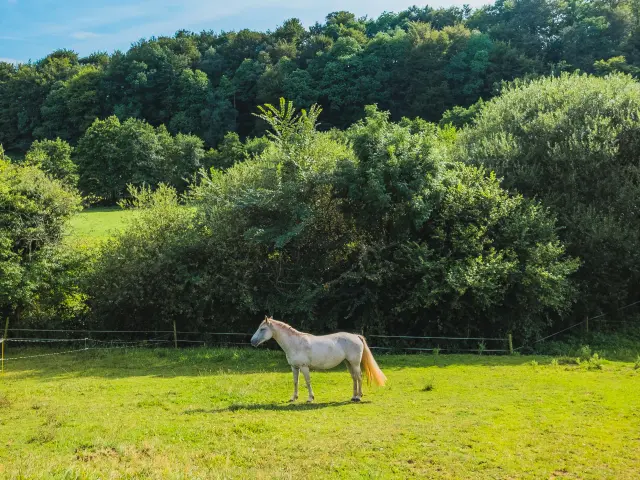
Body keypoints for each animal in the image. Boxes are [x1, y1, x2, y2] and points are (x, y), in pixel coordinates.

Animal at [250, 316, 387, 403]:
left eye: (262, 329)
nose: (252, 341)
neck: (295, 343)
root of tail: (356, 336)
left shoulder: (304, 367)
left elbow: (307, 382)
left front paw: (310, 398)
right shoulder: (294, 367)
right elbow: (295, 382)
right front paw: (293, 398)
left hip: (355, 363)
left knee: (359, 377)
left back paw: (358, 397)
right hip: (348, 363)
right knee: (354, 378)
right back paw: (354, 397)